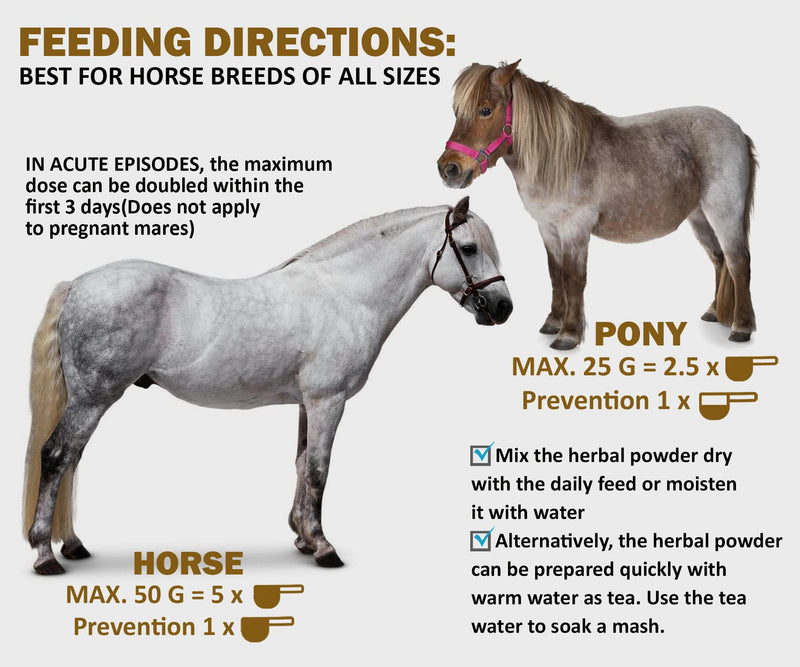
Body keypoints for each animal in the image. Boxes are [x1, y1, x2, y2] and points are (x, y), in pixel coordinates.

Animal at [23, 197, 512, 574]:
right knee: (57, 456)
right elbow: (318, 470)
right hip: (93, 397)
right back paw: (46, 555)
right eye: (468, 248)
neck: (346, 295)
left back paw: (73, 545)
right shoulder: (328, 401)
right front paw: (323, 547)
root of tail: (78, 285)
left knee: (72, 460)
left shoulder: (306, 403)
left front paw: (302, 538)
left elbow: (301, 464)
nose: (502, 308)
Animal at [437, 61, 757, 350]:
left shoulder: (575, 228)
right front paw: (553, 322)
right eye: (457, 112)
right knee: (719, 260)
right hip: (701, 217)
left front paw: (568, 335)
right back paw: (714, 313)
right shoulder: (548, 228)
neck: (561, 159)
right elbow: (556, 274)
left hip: (724, 214)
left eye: (486, 110)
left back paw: (741, 327)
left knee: (738, 262)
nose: (448, 169)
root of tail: (737, 131)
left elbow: (574, 278)